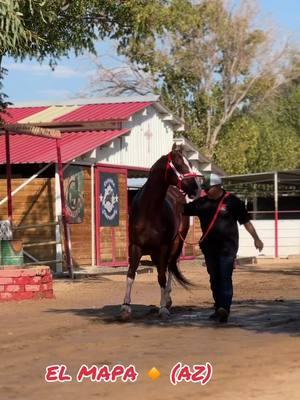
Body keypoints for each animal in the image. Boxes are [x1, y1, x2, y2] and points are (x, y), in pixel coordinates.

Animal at [120, 145, 202, 318]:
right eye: (180, 165)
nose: (196, 189)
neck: (149, 211)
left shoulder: (163, 247)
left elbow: (162, 277)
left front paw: (163, 306)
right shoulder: (135, 247)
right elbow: (131, 273)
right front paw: (125, 306)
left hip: (175, 244)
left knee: (169, 268)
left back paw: (167, 299)